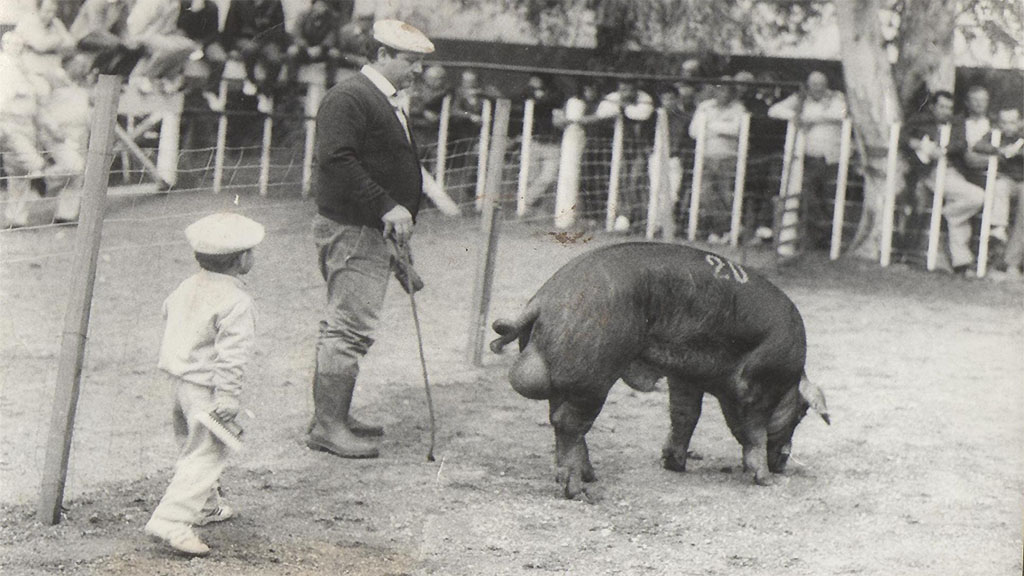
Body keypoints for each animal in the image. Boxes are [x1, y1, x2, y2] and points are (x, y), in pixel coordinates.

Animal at [489, 239, 831, 496]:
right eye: (802, 412)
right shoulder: (757, 387)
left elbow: (685, 416)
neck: (789, 377)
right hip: (593, 376)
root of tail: (544, 299)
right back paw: (579, 490)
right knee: (568, 424)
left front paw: (674, 464)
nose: (782, 466)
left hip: (569, 380)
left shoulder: (686, 377)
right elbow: (755, 433)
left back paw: (591, 477)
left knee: (560, 420)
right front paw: (765, 480)